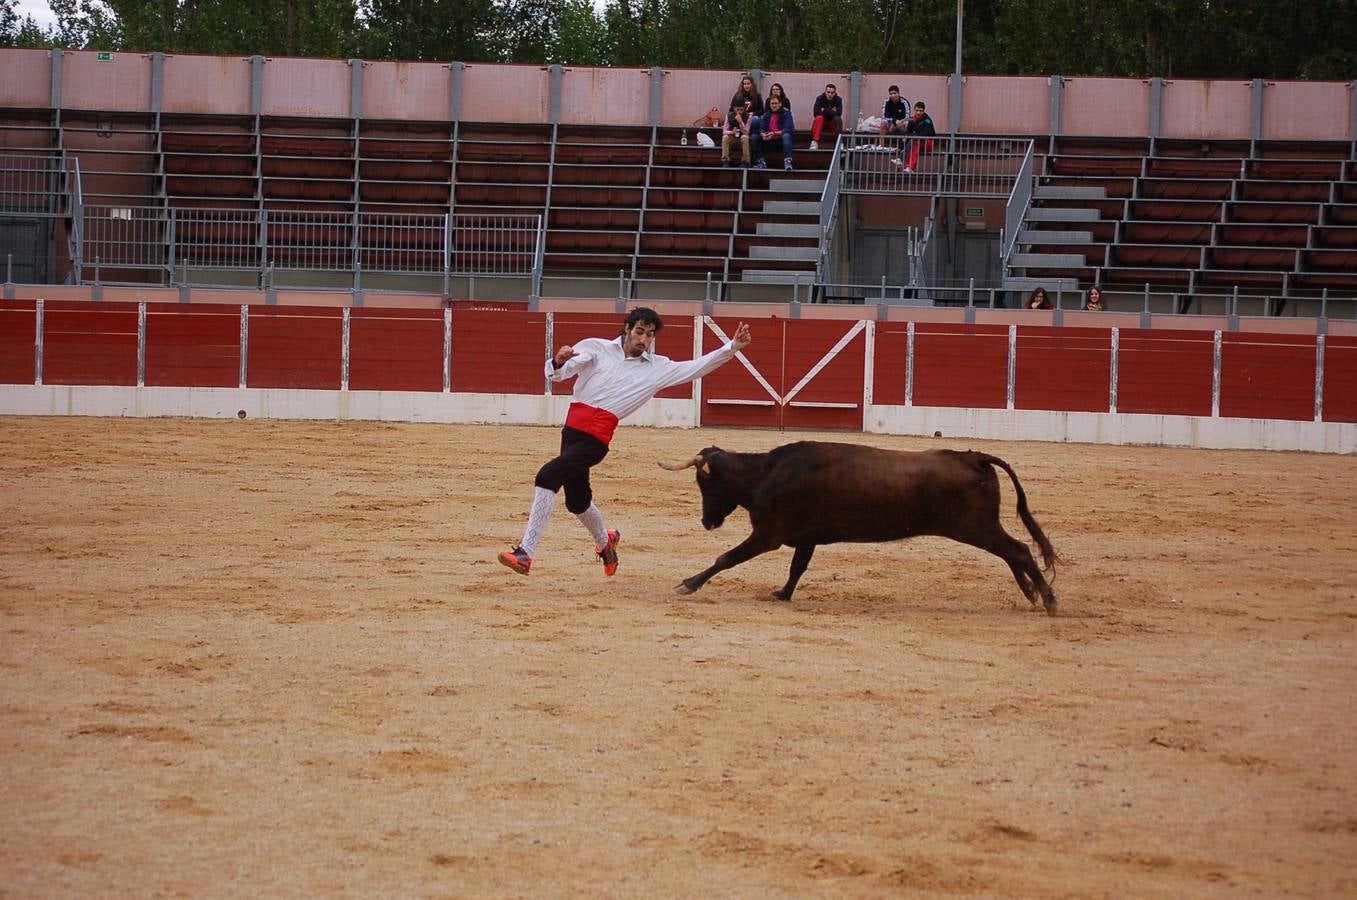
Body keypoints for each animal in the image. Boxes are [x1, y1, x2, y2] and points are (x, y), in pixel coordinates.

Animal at [656, 442, 1058, 613]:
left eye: (704, 482)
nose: (707, 522)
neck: (765, 473)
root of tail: (974, 458)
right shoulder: (805, 538)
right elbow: (797, 568)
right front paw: (782, 594)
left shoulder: (768, 535)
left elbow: (726, 558)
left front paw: (688, 583)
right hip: (980, 526)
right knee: (1013, 552)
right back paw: (1031, 594)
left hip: (975, 526)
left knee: (1018, 550)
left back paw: (1049, 600)